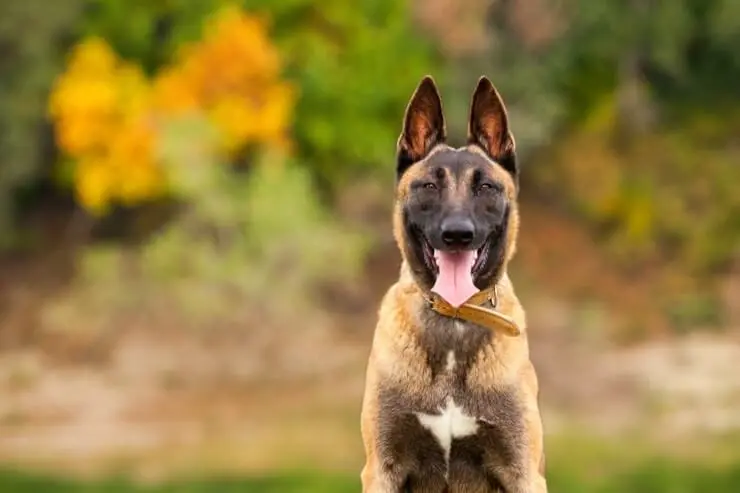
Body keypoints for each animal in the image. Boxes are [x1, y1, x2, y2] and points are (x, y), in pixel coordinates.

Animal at [362, 75, 548, 490]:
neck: (454, 322)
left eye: (486, 188)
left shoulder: (522, 470)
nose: (458, 235)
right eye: (430, 186)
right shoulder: (382, 467)